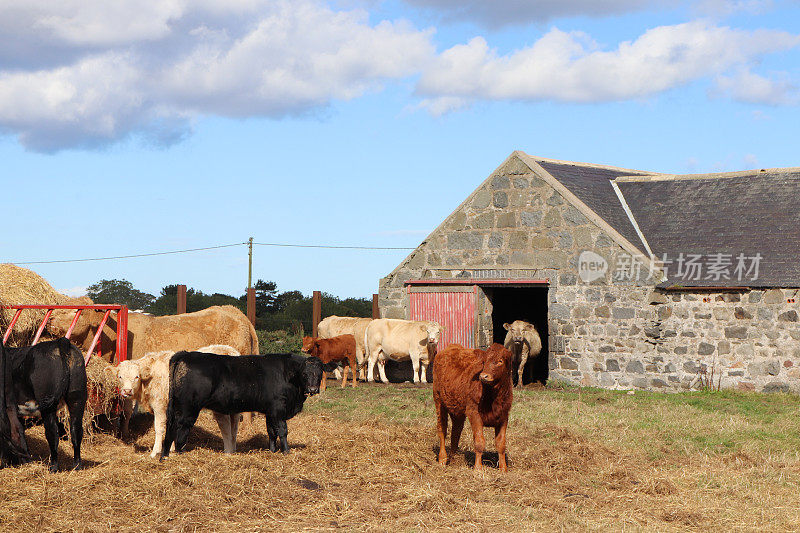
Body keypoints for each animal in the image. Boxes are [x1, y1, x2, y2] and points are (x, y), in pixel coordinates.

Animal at [4, 336, 87, 470]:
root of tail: (60, 342)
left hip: (48, 404)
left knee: (52, 432)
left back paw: (53, 467)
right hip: (77, 398)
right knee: (76, 430)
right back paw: (77, 466)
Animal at [108, 344, 242, 458]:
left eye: (136, 376)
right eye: (120, 377)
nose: (127, 391)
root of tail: (231, 351)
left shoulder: (159, 406)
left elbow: (159, 428)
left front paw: (155, 452)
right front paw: (171, 449)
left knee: (225, 426)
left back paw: (227, 452)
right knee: (234, 426)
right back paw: (233, 449)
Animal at [161, 350, 336, 458]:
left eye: (320, 373)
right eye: (304, 374)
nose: (313, 389)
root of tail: (186, 354)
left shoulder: (270, 411)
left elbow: (271, 432)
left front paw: (272, 451)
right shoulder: (278, 409)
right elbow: (282, 430)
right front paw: (286, 451)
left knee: (170, 429)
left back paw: (165, 456)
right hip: (188, 408)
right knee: (181, 430)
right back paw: (180, 454)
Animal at [432, 342, 512, 472]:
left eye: (500, 361)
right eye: (483, 362)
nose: (483, 376)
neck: (493, 399)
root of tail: (452, 346)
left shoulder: (504, 416)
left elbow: (501, 444)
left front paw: (503, 468)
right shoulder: (474, 413)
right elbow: (479, 442)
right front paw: (478, 468)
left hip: (457, 409)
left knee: (456, 431)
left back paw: (453, 459)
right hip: (439, 401)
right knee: (442, 429)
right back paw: (443, 459)